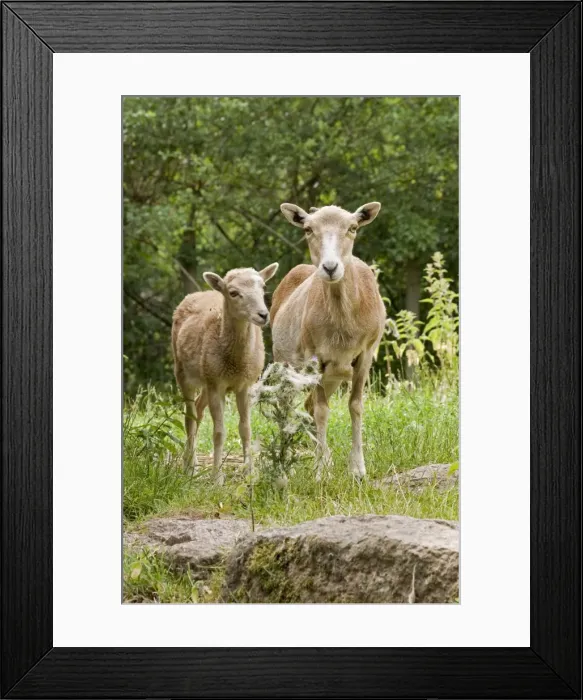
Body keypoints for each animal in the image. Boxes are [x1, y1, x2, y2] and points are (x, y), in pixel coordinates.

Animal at [172, 263, 279, 483]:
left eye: (263, 287)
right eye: (233, 293)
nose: (263, 314)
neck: (236, 365)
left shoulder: (244, 384)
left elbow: (245, 429)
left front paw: (249, 473)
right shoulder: (217, 385)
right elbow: (219, 432)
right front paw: (217, 477)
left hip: (207, 376)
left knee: (198, 410)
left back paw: (193, 461)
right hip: (183, 372)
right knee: (189, 416)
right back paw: (189, 466)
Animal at [270, 203, 385, 479]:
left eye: (352, 228)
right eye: (308, 229)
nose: (330, 267)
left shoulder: (365, 354)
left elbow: (355, 406)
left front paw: (357, 470)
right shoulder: (315, 356)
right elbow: (323, 411)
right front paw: (321, 472)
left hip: (334, 375)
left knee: (309, 405)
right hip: (284, 364)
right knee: (289, 407)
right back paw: (288, 467)